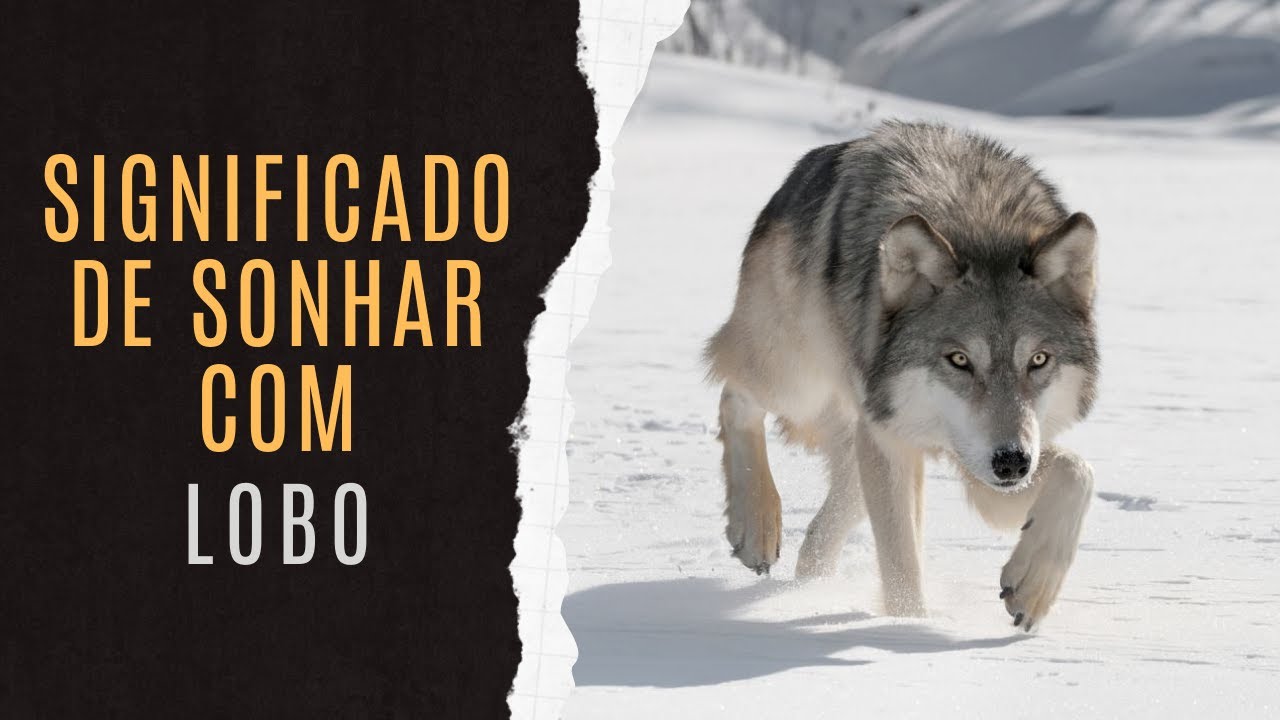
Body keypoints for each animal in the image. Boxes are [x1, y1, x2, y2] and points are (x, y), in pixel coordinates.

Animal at [705, 121, 1098, 631]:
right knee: (734, 394)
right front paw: (908, 628)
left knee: (834, 511)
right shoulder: (895, 440)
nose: (1011, 462)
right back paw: (756, 528)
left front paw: (1032, 587)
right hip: (798, 381)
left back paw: (809, 585)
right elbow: (900, 561)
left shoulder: (984, 466)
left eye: (1038, 360)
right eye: (959, 360)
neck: (980, 224)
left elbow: (1077, 472)